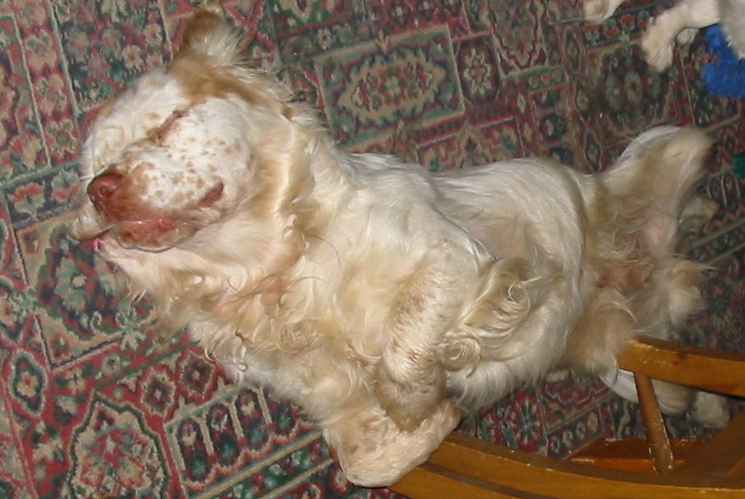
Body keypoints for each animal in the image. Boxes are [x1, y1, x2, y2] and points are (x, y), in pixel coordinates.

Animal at [71, 10, 727, 487]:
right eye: (95, 167)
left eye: (168, 124)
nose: (100, 190)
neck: (277, 271)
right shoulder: (330, 407)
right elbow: (363, 463)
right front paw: (427, 426)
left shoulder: (449, 255)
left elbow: (404, 353)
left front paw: (434, 386)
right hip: (622, 361)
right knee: (671, 379)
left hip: (673, 141)